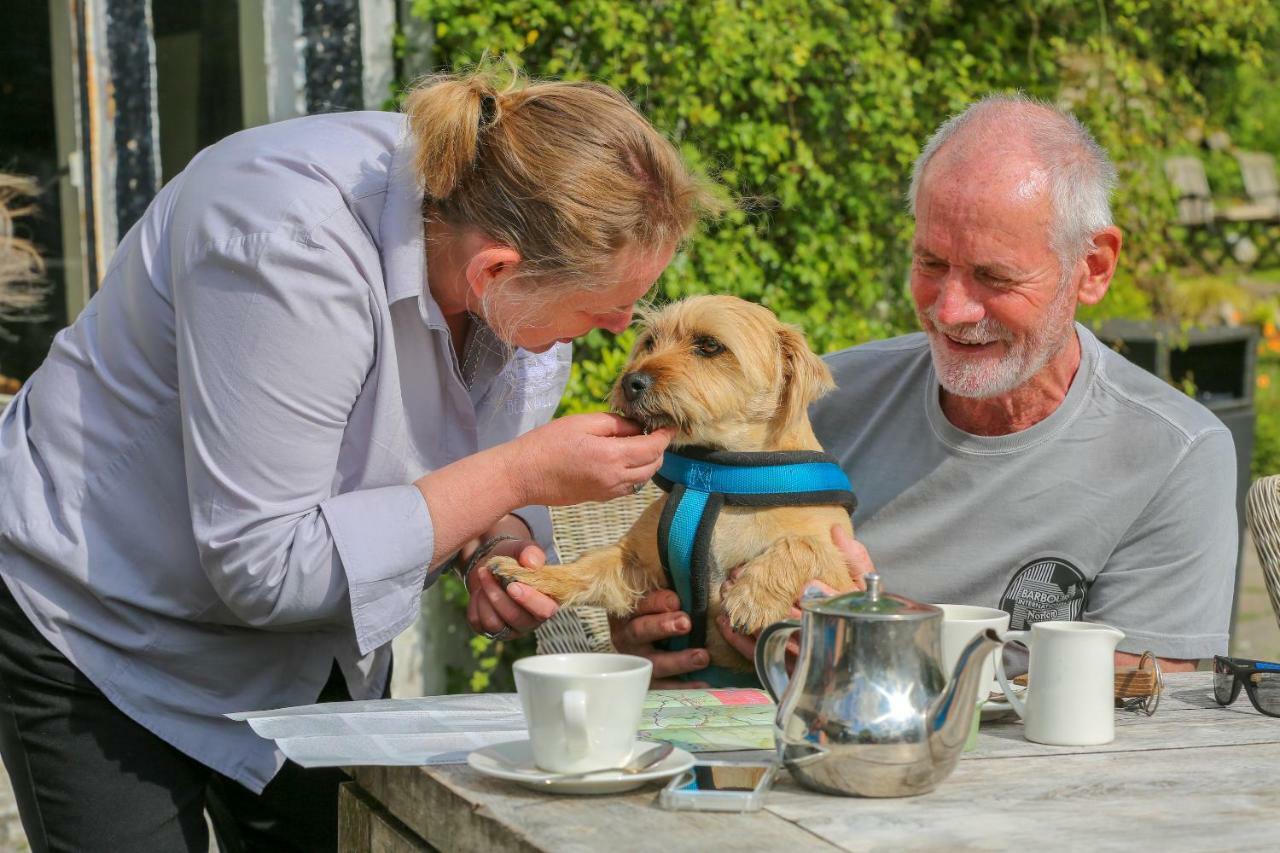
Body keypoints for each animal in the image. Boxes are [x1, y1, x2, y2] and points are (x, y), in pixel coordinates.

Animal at [488, 295, 860, 666]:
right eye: (650, 342)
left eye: (710, 345)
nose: (631, 382)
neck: (723, 480)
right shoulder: (633, 562)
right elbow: (588, 566)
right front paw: (534, 574)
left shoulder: (844, 578)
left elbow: (804, 545)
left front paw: (753, 597)